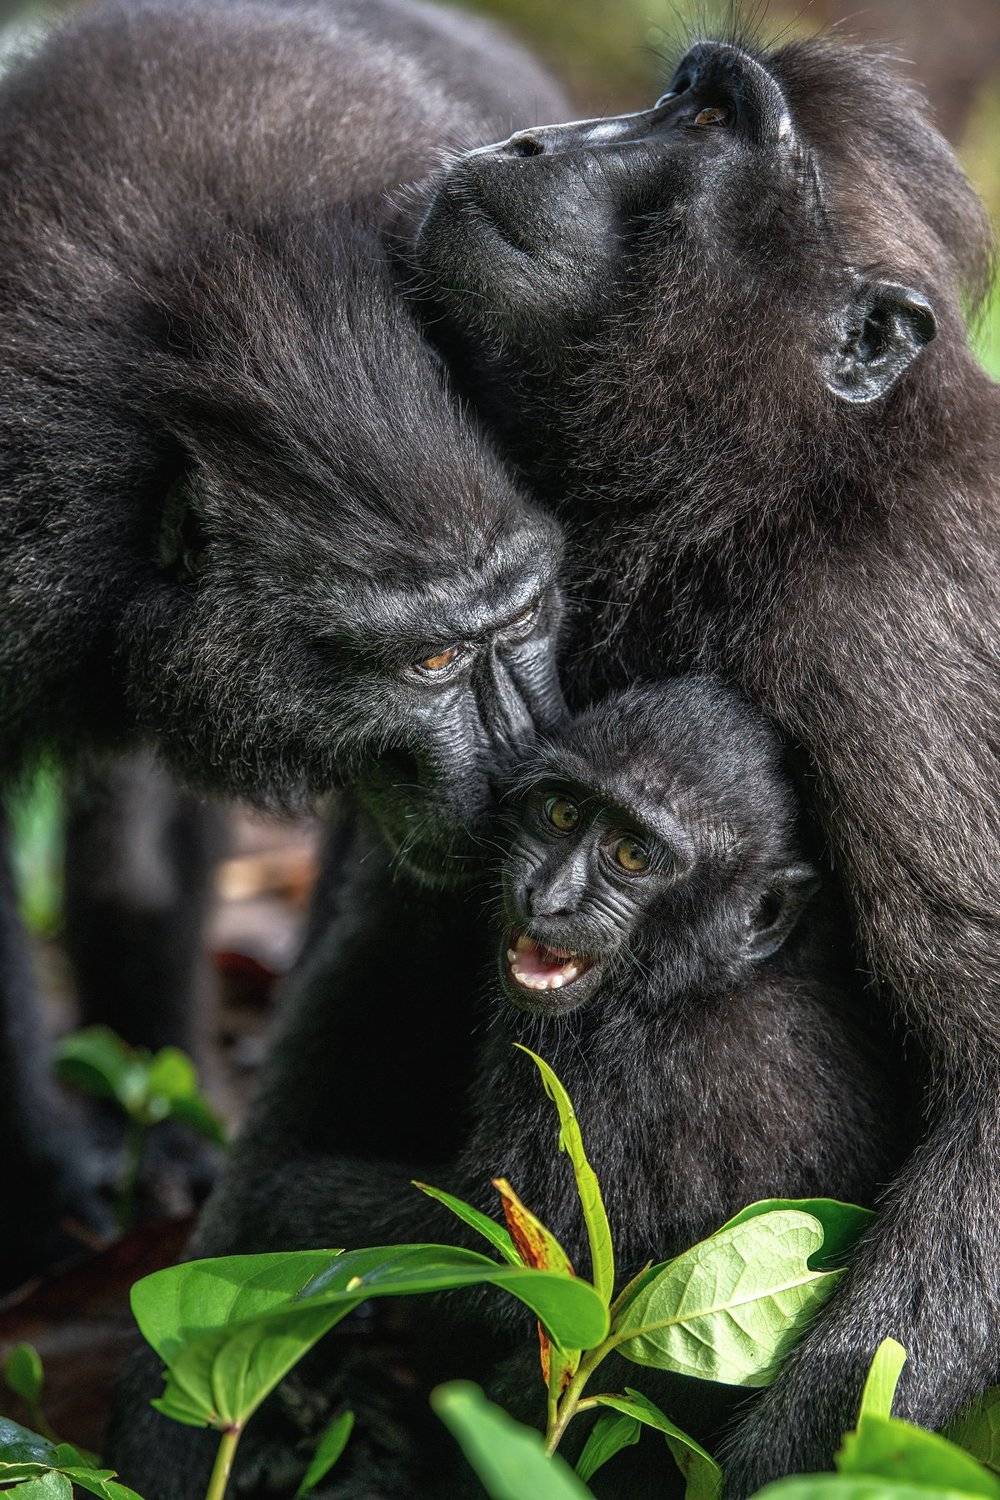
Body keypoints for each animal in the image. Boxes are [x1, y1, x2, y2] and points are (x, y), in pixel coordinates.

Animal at [108, 677, 913, 1498]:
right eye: (560, 813)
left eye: (632, 855)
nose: (546, 895)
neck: (701, 985)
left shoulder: (596, 1073)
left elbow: (537, 1274)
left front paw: (276, 1217)